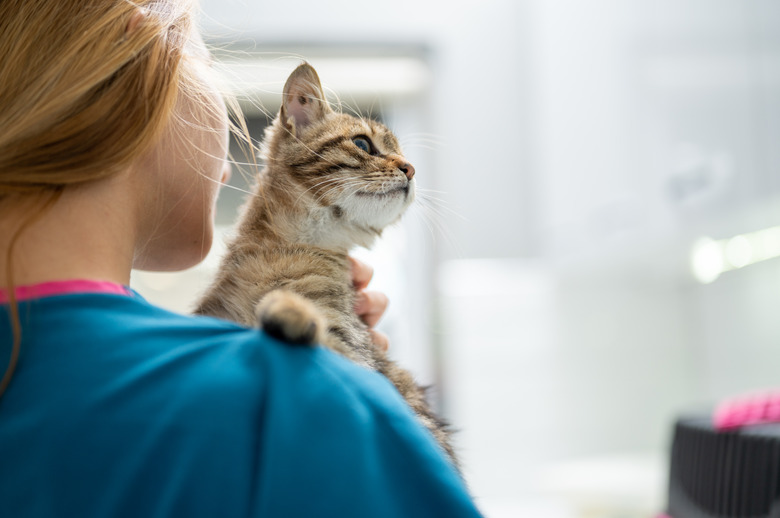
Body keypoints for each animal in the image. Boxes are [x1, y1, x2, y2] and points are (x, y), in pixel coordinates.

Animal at [195, 63, 460, 470]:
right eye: (363, 144)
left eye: (402, 154)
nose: (411, 169)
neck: (286, 250)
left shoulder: (352, 352)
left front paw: (289, 312)